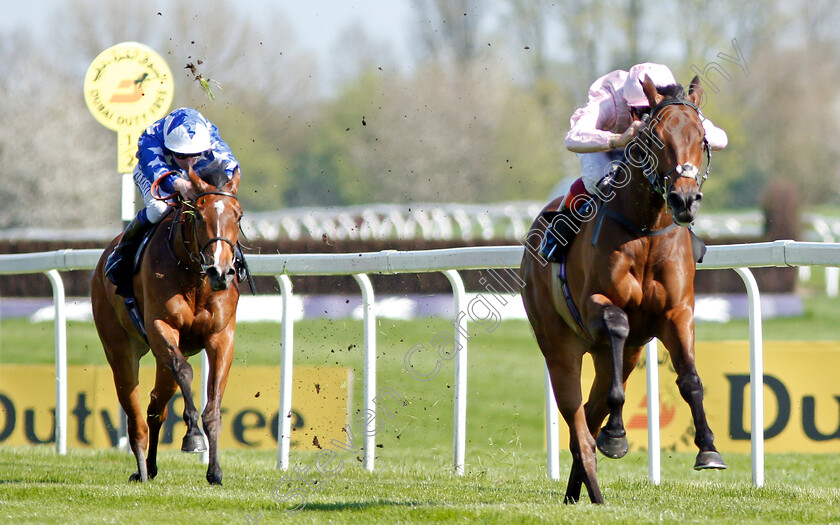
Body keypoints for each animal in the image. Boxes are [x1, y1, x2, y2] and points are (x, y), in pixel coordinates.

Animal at [92, 164, 243, 484]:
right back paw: (141, 468)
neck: (195, 275)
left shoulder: (221, 336)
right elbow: (185, 372)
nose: (220, 271)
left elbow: (213, 404)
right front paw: (193, 436)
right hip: (121, 350)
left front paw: (214, 470)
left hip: (165, 358)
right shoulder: (161, 327)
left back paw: (150, 466)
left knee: (155, 406)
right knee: (135, 412)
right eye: (199, 215)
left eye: (238, 216)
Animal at [520, 74, 724, 504]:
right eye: (655, 138)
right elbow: (616, 325)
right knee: (579, 423)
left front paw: (708, 448)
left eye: (701, 137)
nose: (684, 199)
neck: (645, 230)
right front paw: (617, 436)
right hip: (560, 349)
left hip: (622, 355)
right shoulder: (599, 305)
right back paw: (593, 489)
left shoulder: (677, 313)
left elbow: (690, 379)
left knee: (588, 416)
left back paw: (578, 493)